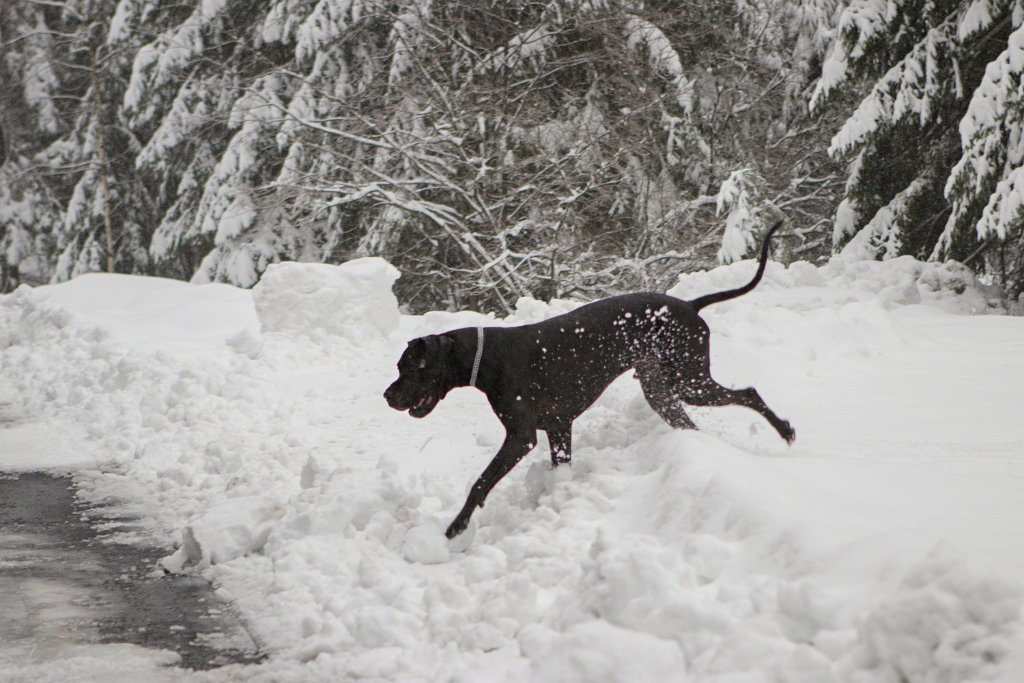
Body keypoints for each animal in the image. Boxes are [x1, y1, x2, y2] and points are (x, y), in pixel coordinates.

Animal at [385, 224, 790, 540]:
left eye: (408, 367)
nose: (388, 396)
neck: (488, 357)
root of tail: (690, 305)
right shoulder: (558, 427)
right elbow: (558, 462)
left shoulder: (521, 436)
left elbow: (481, 481)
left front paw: (457, 526)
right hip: (661, 391)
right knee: (690, 420)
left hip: (689, 380)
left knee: (749, 393)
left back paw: (786, 430)